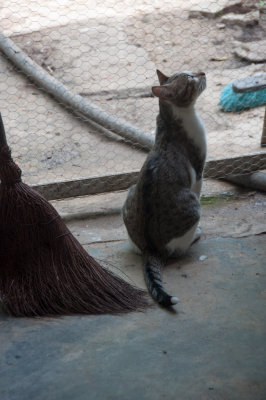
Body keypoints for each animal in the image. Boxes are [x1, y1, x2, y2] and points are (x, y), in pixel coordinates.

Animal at [122, 69, 208, 306]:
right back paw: (195, 234)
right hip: (193, 206)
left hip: (130, 192)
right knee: (180, 248)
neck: (170, 118)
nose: (202, 72)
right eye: (190, 79)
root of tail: (152, 249)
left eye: (192, 71)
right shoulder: (198, 174)